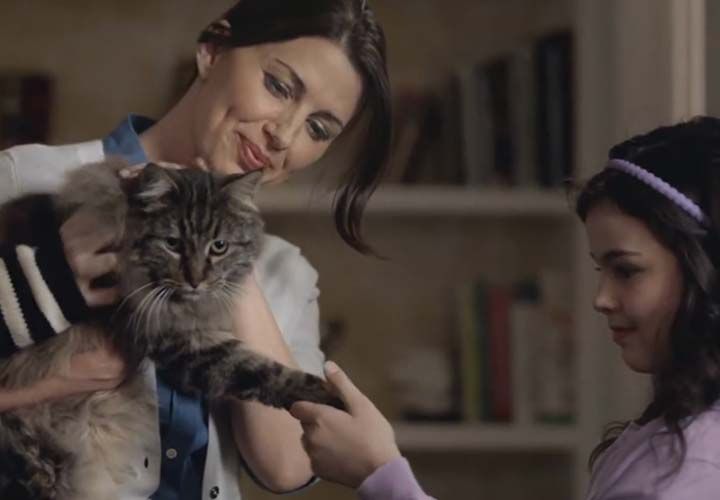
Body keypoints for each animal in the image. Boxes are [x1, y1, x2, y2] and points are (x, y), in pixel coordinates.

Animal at [0, 161, 342, 500]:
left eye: (219, 247)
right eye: (173, 244)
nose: (196, 280)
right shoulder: (182, 342)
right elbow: (264, 371)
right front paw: (331, 396)